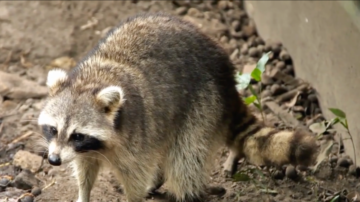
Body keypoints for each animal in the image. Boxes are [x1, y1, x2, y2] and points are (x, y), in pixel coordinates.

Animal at [37, 13, 318, 202]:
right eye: (53, 129)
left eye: (77, 135)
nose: (53, 160)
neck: (92, 81)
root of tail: (228, 75)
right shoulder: (88, 149)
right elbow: (84, 170)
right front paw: (83, 193)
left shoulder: (136, 133)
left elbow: (137, 177)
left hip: (204, 104)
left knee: (186, 158)